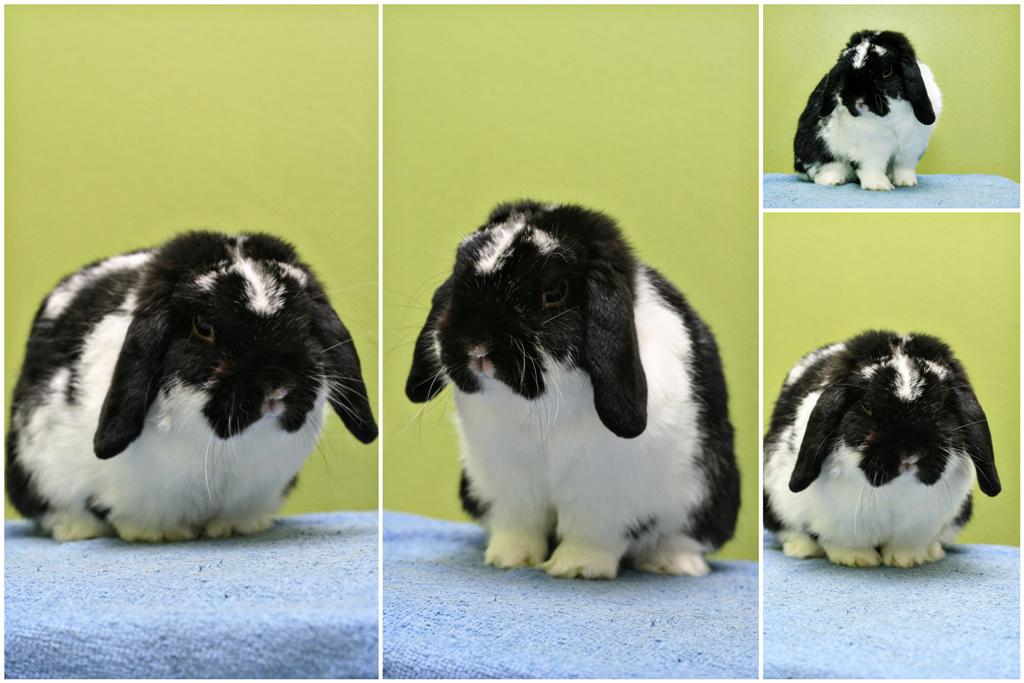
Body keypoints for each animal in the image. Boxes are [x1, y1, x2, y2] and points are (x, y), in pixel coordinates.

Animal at [6, 231, 377, 542]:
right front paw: (160, 534)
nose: (275, 386)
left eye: (304, 323)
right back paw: (75, 530)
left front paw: (235, 527)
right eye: (203, 327)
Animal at [405, 200, 740, 579]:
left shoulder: (603, 490)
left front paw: (576, 568)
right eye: (460, 271)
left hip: (707, 498)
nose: (476, 344)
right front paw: (509, 559)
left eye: (554, 293)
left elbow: (591, 532)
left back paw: (672, 565)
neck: (539, 407)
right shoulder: (507, 480)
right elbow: (518, 525)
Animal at [764, 331, 1000, 568]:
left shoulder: (918, 527)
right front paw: (859, 559)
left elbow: (907, 545)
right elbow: (842, 542)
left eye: (941, 406)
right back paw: (802, 549)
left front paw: (907, 560)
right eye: (867, 406)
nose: (909, 452)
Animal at [794, 30, 942, 191]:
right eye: (845, 71)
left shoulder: (911, 148)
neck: (891, 116)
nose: (855, 96)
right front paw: (878, 186)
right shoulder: (869, 149)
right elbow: (872, 167)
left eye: (887, 71)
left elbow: (903, 167)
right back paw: (833, 180)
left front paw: (906, 182)